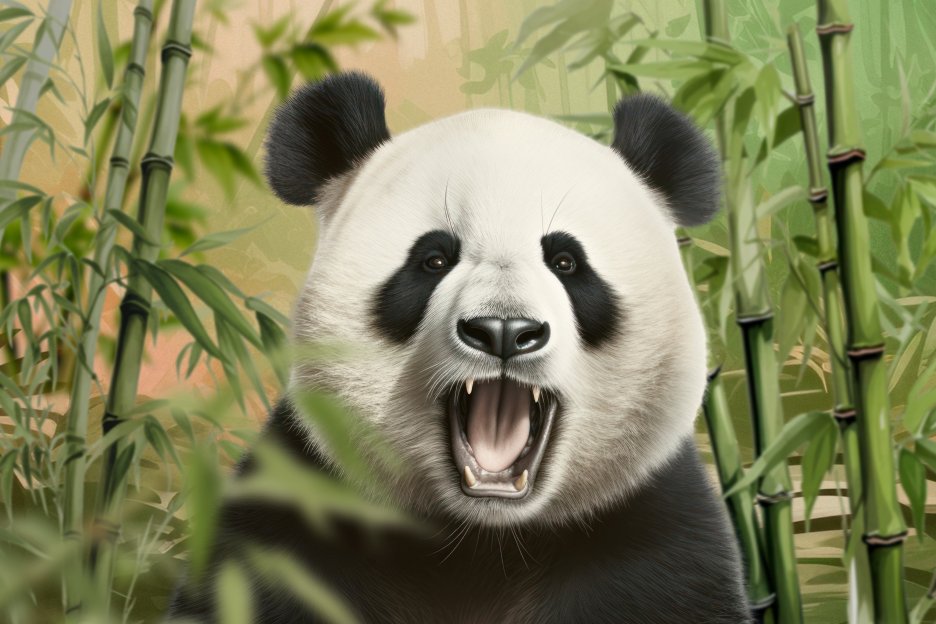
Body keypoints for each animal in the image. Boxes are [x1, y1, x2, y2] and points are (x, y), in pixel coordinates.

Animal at [169, 72, 749, 623]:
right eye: (433, 260)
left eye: (566, 262)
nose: (504, 330)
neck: (484, 542)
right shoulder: (299, 515)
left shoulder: (652, 542)